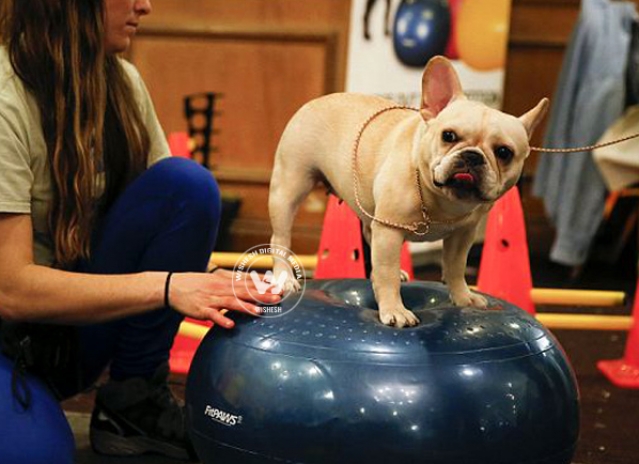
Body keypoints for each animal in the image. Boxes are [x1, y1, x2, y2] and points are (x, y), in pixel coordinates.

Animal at [268, 56, 548, 328]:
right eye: (449, 136)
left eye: (504, 152)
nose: (472, 155)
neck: (442, 200)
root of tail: (318, 100)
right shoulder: (390, 231)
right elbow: (387, 273)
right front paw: (394, 310)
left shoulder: (462, 235)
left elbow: (455, 268)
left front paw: (463, 297)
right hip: (290, 188)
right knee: (280, 237)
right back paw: (285, 277)